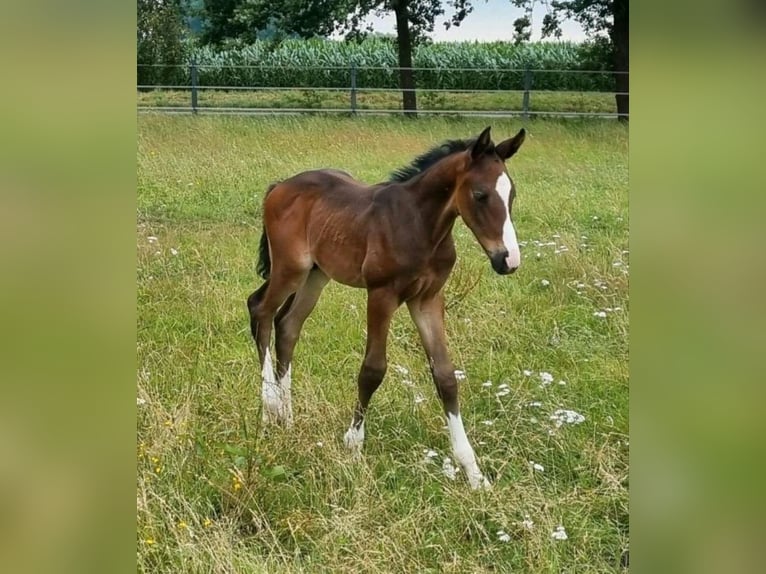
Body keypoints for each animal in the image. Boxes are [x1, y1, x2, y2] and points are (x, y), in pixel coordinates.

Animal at [252, 126, 528, 490]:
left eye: (511, 195)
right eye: (480, 195)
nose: (508, 260)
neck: (421, 225)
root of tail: (280, 186)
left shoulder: (427, 299)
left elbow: (445, 376)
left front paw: (473, 472)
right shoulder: (381, 294)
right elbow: (372, 370)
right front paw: (353, 447)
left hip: (316, 275)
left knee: (287, 325)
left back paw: (288, 416)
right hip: (289, 269)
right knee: (260, 310)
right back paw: (270, 407)